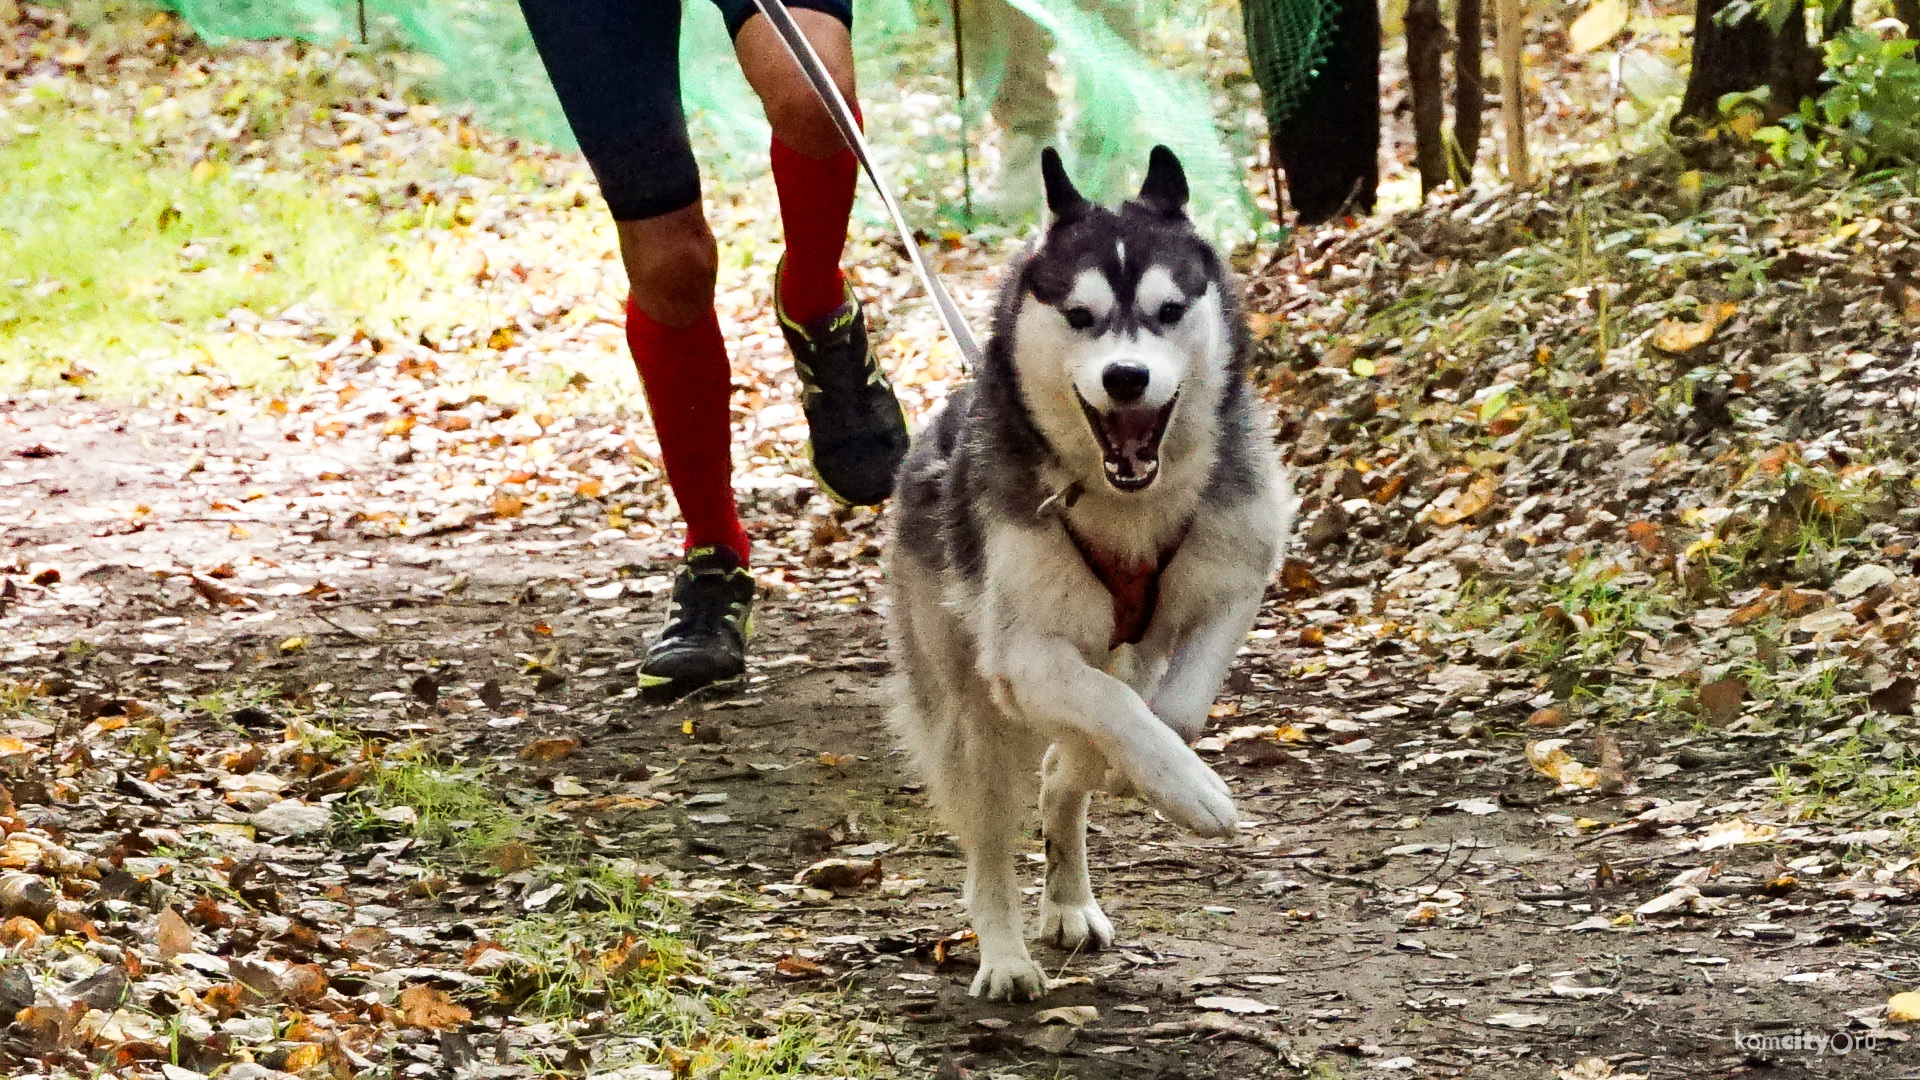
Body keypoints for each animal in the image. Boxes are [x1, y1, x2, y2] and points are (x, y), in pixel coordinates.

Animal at [890, 147, 1297, 999]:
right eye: (1079, 317)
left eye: (1170, 310)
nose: (1126, 378)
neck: (1126, 507)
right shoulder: (1023, 655)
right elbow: (1112, 707)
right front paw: (1186, 788)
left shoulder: (1236, 580)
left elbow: (1171, 712)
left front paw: (1145, 770)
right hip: (967, 713)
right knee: (990, 839)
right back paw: (1006, 955)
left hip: (1119, 649)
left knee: (1063, 770)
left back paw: (1071, 893)